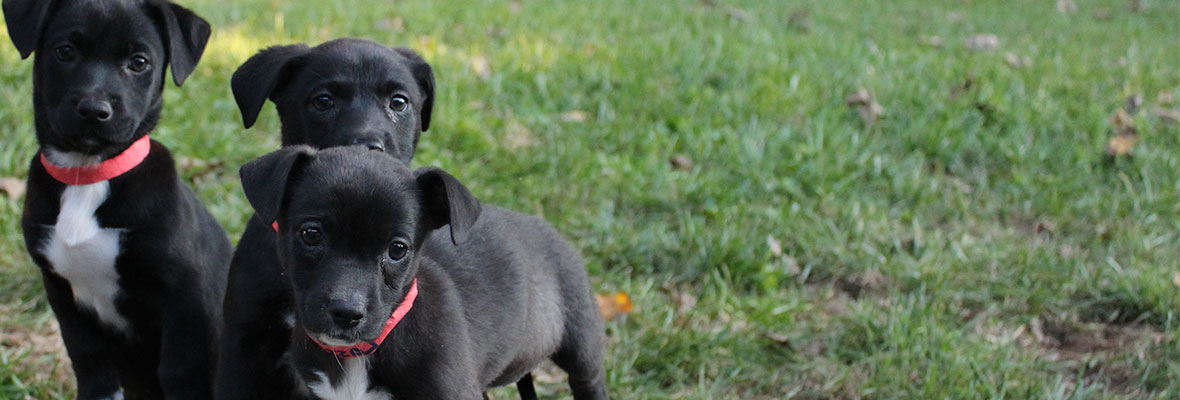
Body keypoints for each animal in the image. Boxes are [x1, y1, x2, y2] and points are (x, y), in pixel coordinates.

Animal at [1, 0, 230, 398]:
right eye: (65, 51)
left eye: (139, 62)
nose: (95, 110)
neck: (88, 174)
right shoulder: (62, 291)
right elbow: (89, 360)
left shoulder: (188, 297)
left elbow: (180, 369)